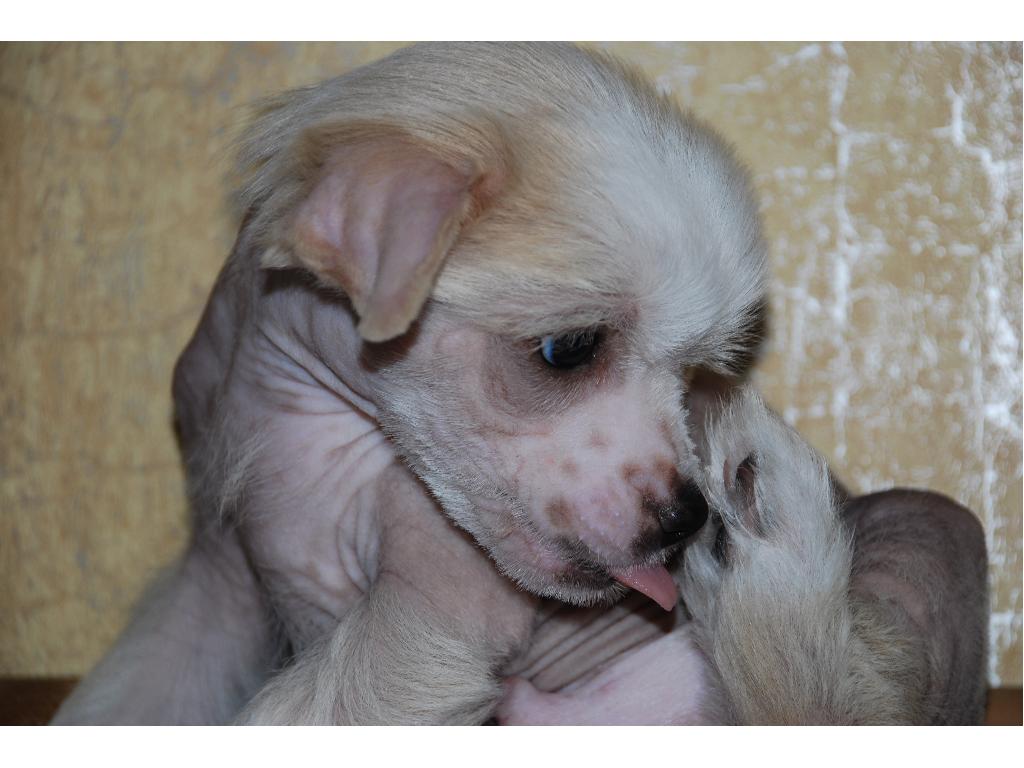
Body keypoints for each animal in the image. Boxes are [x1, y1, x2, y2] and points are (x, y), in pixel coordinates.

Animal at [51, 43, 987, 729]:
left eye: (695, 371)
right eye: (568, 350)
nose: (686, 521)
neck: (305, 415)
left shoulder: (430, 609)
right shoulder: (213, 588)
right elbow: (131, 695)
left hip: (906, 557)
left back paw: (780, 534)